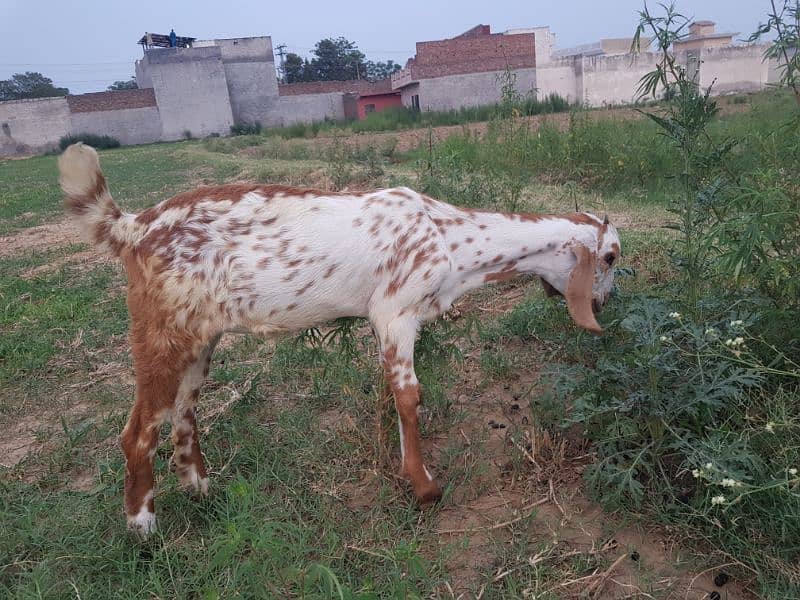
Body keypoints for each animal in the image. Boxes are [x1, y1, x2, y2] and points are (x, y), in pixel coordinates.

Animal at [57, 144, 620, 536]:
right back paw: (143, 526)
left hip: (199, 340)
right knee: (137, 433)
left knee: (183, 415)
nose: (604, 305)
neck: (451, 237)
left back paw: (201, 489)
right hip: (160, 332)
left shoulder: (388, 321)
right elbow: (410, 396)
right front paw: (424, 487)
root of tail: (131, 227)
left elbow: (395, 394)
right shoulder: (396, 312)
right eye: (611, 257)